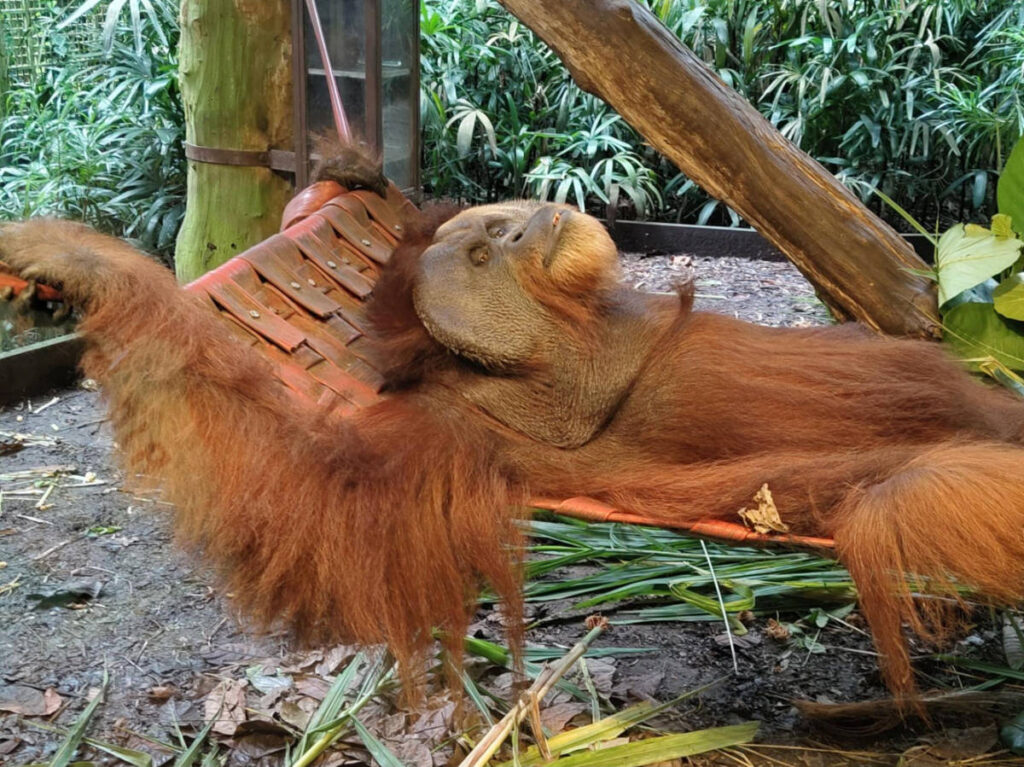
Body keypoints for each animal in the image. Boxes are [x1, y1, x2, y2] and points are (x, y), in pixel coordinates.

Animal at [4, 193, 1024, 704]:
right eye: (485, 252)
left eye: (498, 227)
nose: (535, 218)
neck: (567, 351)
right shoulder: (449, 432)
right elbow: (332, 513)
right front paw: (89, 268)